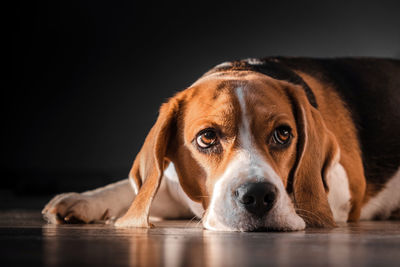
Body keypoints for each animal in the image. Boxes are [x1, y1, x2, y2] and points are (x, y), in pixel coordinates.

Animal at [41, 57, 400, 232]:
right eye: (207, 138)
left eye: (283, 134)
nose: (258, 196)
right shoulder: (173, 184)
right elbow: (131, 189)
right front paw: (82, 200)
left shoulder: (345, 183)